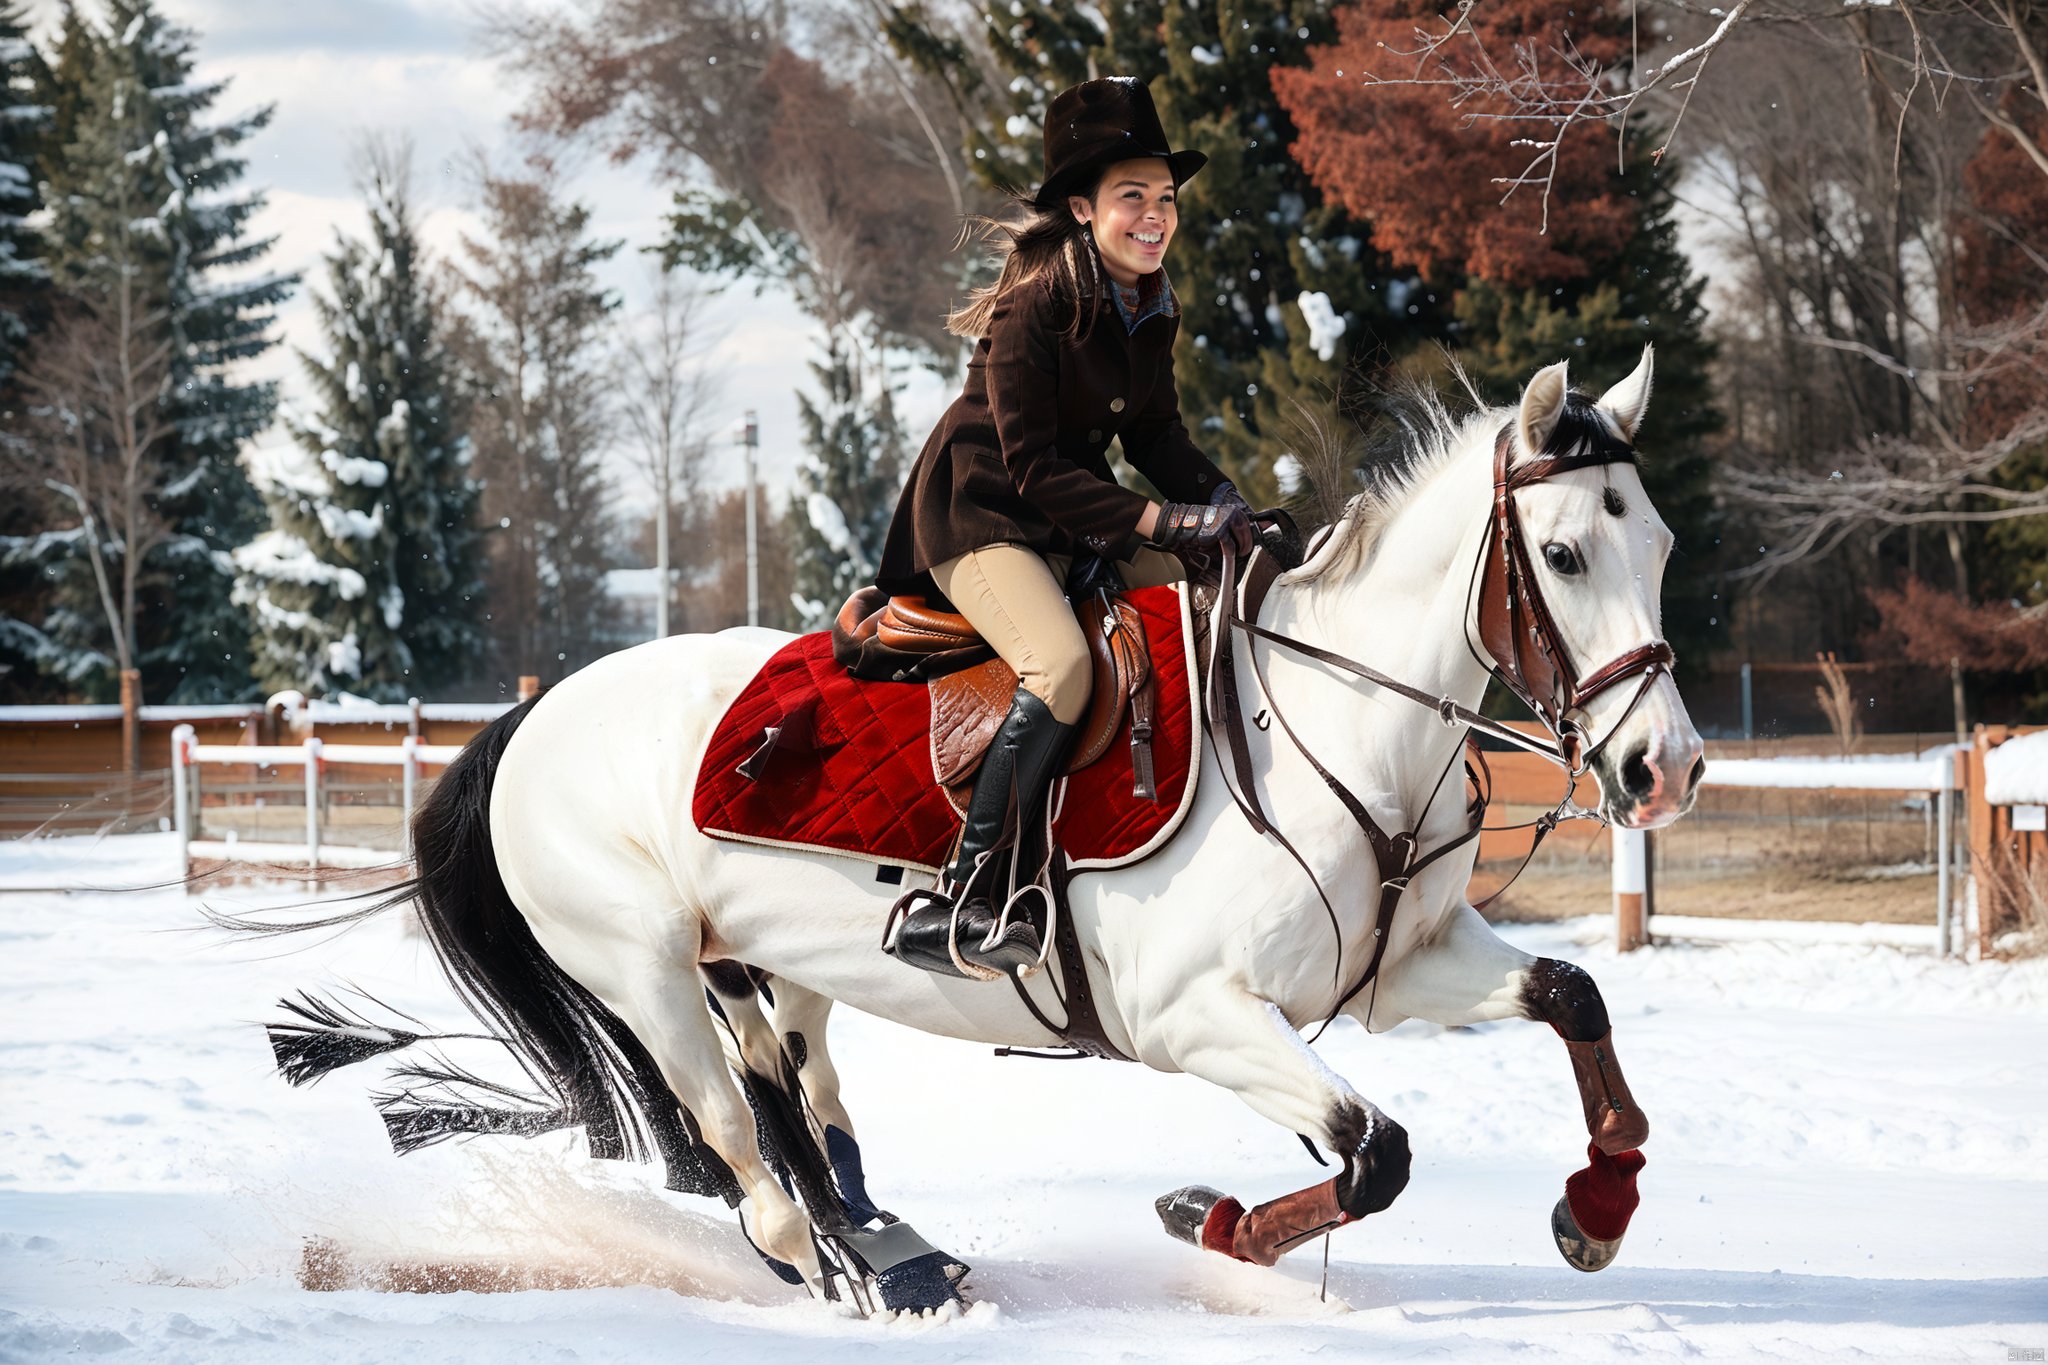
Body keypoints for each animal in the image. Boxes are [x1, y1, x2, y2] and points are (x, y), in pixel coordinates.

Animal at [331, 351, 1695, 1309]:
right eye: (1563, 554)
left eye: (1660, 542)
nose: (1664, 766)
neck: (1335, 724)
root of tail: (534, 715)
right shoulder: (1193, 1017)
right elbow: (1375, 1156)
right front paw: (1202, 1220)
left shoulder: (1399, 970)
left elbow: (1571, 995)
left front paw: (1599, 1206)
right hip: (643, 968)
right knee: (734, 1140)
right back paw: (833, 1269)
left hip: (755, 965)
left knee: (795, 1101)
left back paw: (885, 1248)